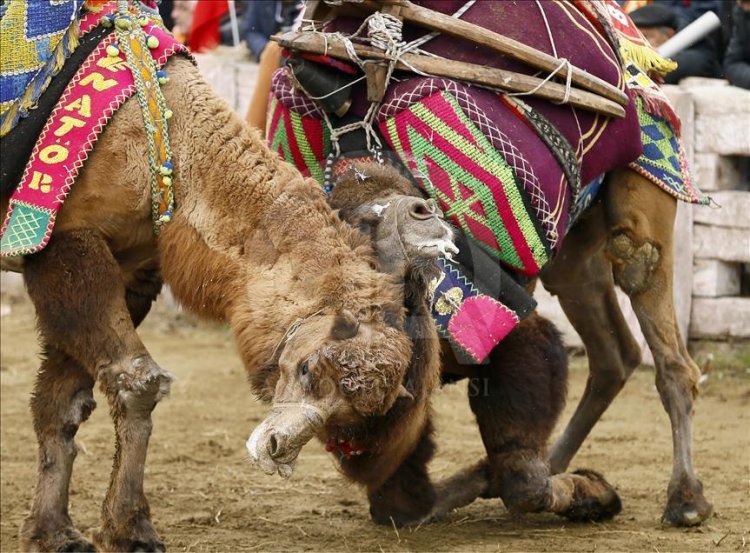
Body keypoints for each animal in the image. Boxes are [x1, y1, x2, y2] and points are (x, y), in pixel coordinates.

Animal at [0, 57, 424, 552]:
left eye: (350, 415)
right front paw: (131, 530)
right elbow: (137, 383)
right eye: (306, 368)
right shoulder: (64, 244)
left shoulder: (131, 266)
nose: (278, 448)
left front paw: (53, 532)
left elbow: (63, 404)